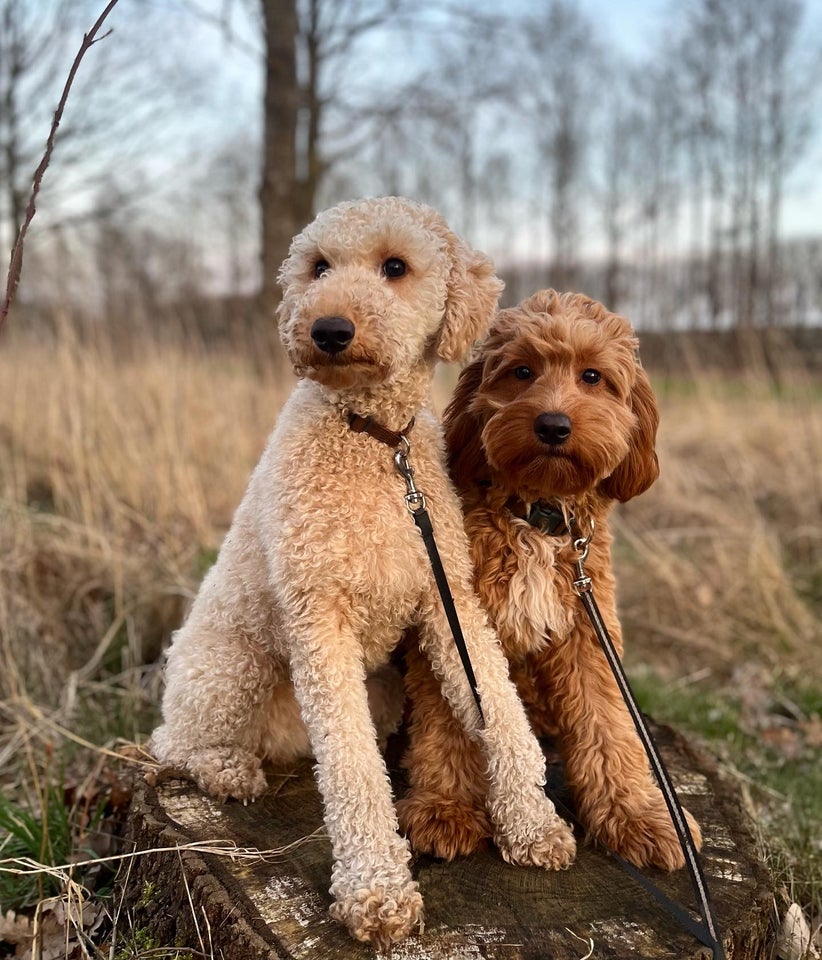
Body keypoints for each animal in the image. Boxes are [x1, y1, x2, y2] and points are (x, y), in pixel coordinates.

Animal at [150, 199, 572, 948]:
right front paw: (375, 890)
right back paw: (227, 769)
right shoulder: (320, 615)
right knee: (170, 743)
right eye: (318, 267)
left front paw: (533, 823)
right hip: (231, 667)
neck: (376, 443)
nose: (327, 330)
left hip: (379, 691)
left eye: (395, 266)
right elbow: (350, 769)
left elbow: (500, 708)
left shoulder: (446, 596)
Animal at [400, 286, 700, 872]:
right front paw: (445, 807)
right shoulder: (457, 620)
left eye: (592, 376)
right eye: (521, 371)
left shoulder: (588, 632)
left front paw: (638, 815)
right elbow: (447, 719)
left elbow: (609, 724)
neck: (537, 514)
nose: (554, 426)